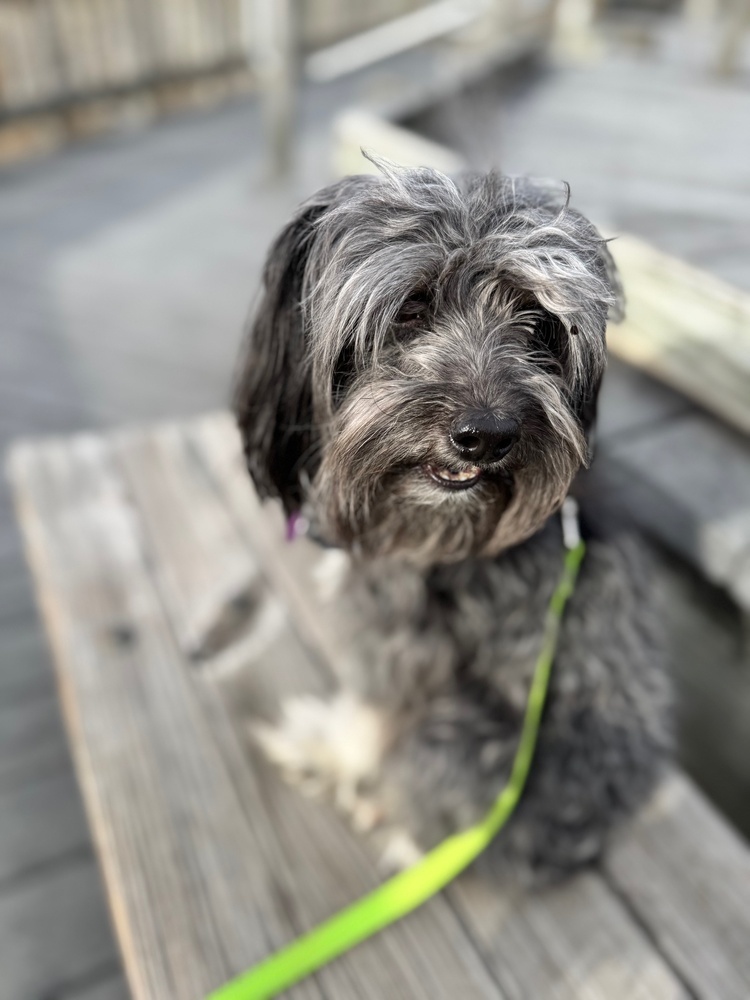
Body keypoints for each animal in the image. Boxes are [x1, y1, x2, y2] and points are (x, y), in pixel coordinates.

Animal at [235, 160, 676, 888]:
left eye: (536, 322)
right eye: (410, 307)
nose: (488, 435)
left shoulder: (396, 646)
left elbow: (369, 718)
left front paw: (330, 750)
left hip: (457, 743)